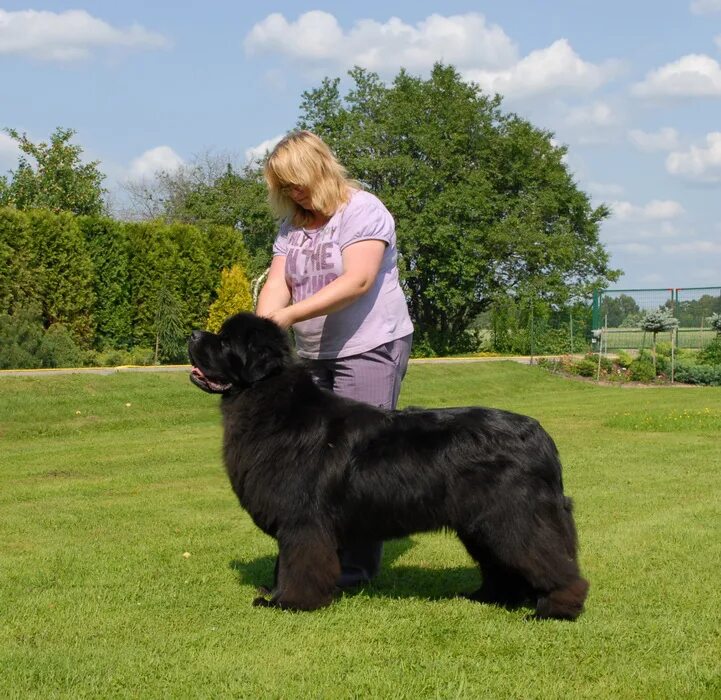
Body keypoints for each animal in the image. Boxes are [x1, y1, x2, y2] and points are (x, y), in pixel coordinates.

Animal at [188, 312, 588, 616]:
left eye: (224, 343)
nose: (193, 334)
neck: (270, 402)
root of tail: (541, 436)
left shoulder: (302, 522)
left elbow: (297, 565)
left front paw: (288, 603)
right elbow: (283, 563)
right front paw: (274, 593)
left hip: (514, 518)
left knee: (549, 560)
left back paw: (556, 608)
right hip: (483, 524)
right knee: (502, 565)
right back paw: (489, 598)